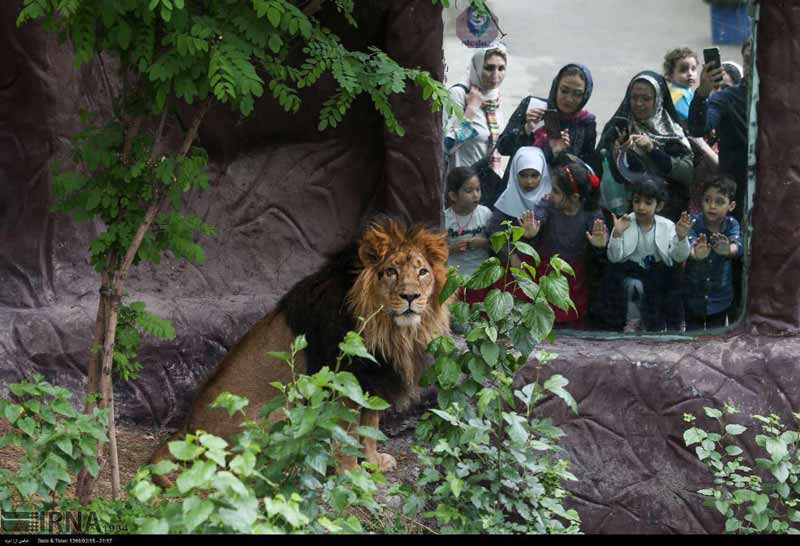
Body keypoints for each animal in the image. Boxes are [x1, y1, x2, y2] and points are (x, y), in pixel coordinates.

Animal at [150, 217, 450, 472]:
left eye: (423, 272)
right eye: (391, 272)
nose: (411, 296)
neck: (389, 330)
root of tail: (188, 430)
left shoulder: (371, 379)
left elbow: (369, 428)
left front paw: (374, 462)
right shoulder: (344, 380)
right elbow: (348, 433)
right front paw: (352, 476)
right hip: (284, 410)